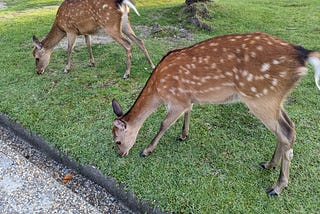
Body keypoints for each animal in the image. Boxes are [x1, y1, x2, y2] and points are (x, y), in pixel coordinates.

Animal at [112, 31, 320, 196]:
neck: (158, 89)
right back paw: (269, 165)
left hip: (261, 97)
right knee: (288, 128)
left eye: (117, 141)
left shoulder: (177, 99)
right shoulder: (187, 98)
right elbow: (189, 112)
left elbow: (163, 124)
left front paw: (146, 150)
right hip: (275, 99)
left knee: (286, 132)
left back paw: (277, 187)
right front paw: (183, 135)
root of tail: (303, 54)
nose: (120, 154)